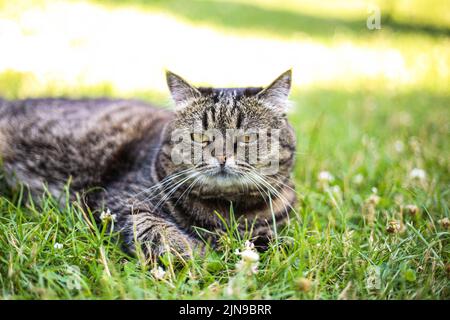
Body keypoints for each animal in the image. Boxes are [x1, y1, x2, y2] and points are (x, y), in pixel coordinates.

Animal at [0, 70, 298, 260]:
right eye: (199, 136)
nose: (222, 156)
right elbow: (160, 230)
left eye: (247, 138)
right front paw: (205, 254)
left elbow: (279, 242)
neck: (227, 211)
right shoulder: (122, 200)